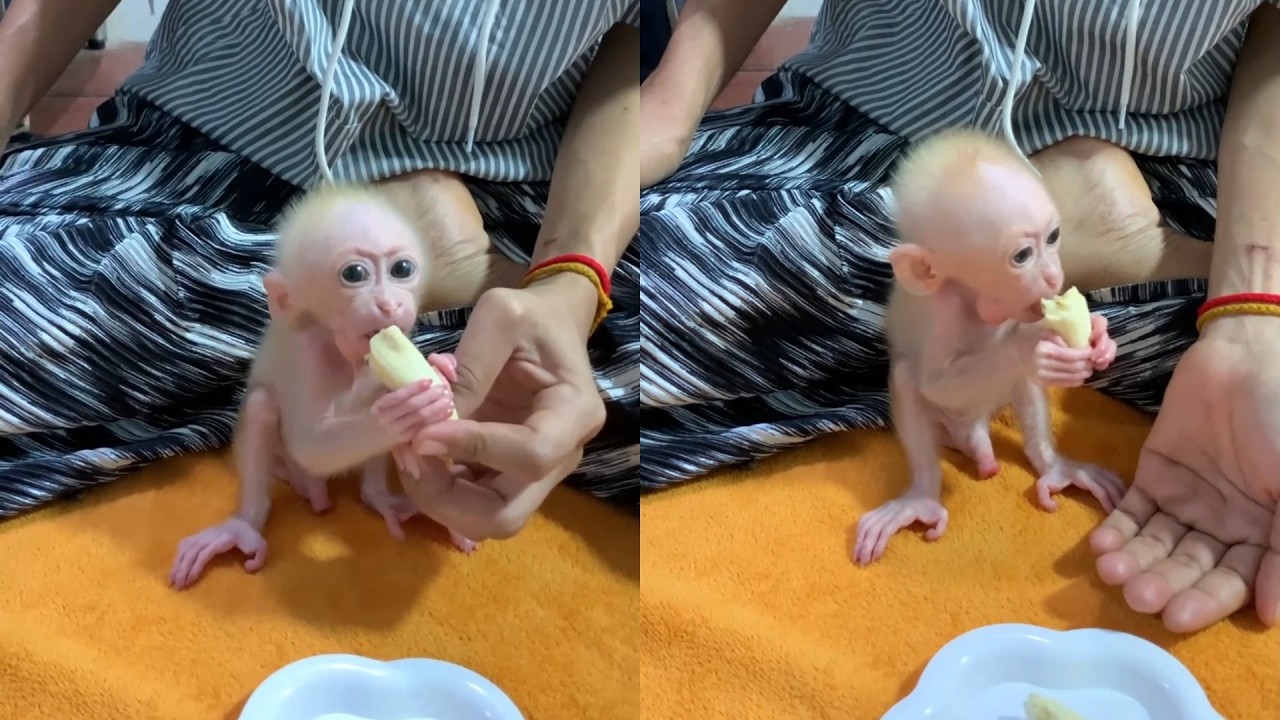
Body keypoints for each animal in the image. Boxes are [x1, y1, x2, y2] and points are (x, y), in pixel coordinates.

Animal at [168, 176, 522, 589]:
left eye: (402, 268)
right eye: (354, 275)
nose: (388, 304)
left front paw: (442, 365)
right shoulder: (310, 353)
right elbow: (310, 442)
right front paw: (399, 414)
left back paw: (380, 498)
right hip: (285, 464)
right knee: (262, 408)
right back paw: (244, 525)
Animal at [851, 128, 1128, 566]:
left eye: (1053, 237)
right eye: (1022, 256)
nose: (1053, 276)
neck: (980, 302)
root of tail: (974, 432)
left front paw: (1100, 339)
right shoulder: (942, 312)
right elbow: (935, 383)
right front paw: (1030, 348)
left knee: (1019, 386)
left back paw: (1052, 464)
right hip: (945, 426)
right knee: (908, 378)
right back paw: (921, 497)